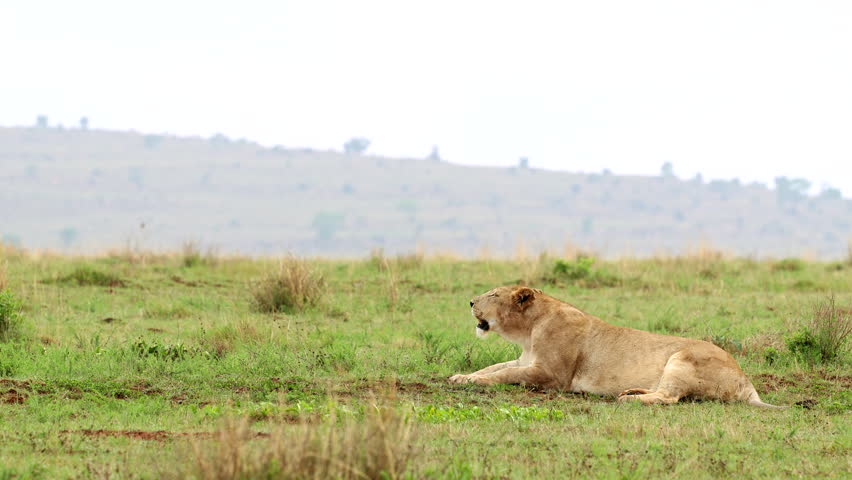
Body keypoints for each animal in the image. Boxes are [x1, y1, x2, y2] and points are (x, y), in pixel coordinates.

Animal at [449, 285, 783, 408]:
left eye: (493, 295)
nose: (470, 302)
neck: (529, 331)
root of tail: (745, 380)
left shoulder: (552, 375)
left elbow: (504, 375)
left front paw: (472, 382)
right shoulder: (524, 361)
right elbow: (494, 368)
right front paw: (462, 377)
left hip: (683, 357)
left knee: (669, 398)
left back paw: (628, 399)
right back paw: (631, 391)